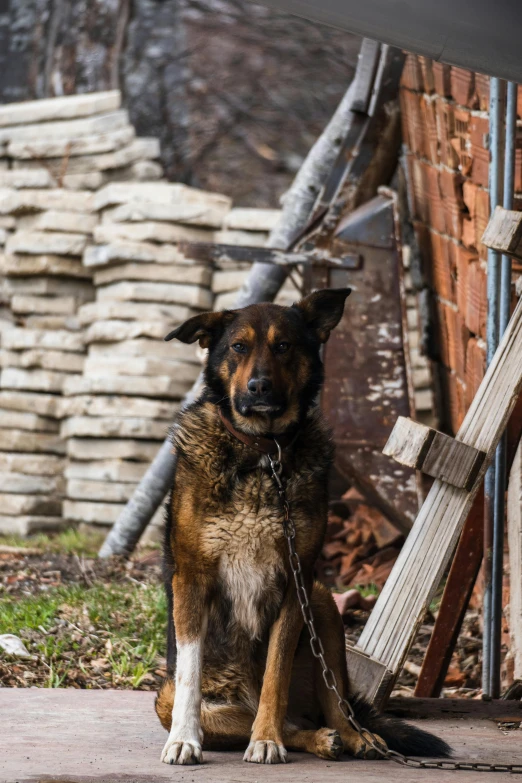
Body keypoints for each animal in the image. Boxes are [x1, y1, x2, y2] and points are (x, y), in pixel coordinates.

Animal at [153, 286, 446, 764]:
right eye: (238, 347)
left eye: (284, 346)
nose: (259, 387)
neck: (263, 451)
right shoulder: (191, 578)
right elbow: (190, 677)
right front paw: (184, 739)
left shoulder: (296, 582)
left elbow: (277, 674)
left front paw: (265, 739)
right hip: (170, 693)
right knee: (281, 721)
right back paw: (317, 738)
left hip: (323, 603)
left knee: (330, 705)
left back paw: (351, 737)